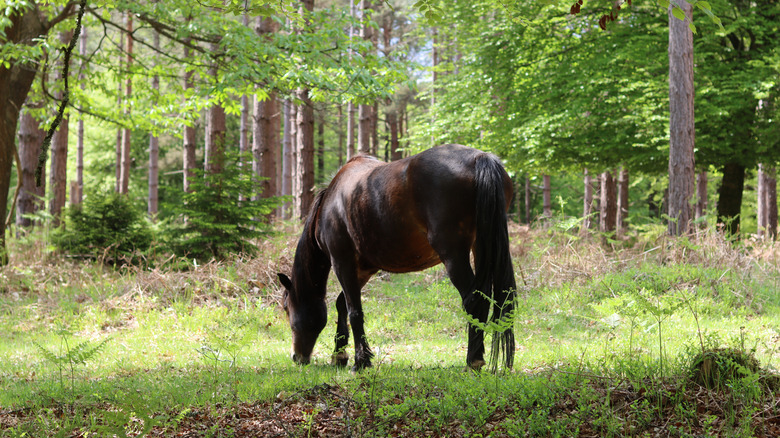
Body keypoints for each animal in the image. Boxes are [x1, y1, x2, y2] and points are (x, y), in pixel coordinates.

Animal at [277, 144, 517, 371]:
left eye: (286, 307)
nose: (297, 357)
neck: (330, 204)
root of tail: (480, 158)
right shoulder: (363, 268)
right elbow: (342, 304)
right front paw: (340, 355)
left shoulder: (342, 262)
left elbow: (354, 311)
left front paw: (360, 361)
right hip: (482, 247)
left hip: (454, 255)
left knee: (473, 300)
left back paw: (473, 361)